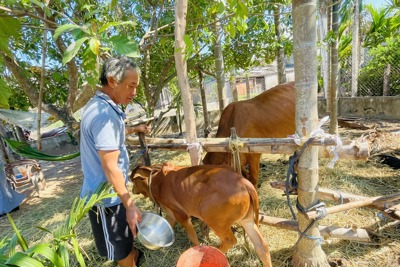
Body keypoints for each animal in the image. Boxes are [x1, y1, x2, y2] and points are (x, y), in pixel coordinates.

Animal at [130, 162, 274, 266]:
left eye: (132, 180)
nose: (131, 190)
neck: (158, 181)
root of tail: (244, 182)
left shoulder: (181, 214)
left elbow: (192, 236)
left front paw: (197, 250)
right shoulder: (170, 212)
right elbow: (168, 225)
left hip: (214, 220)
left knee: (230, 240)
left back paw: (211, 253)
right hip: (248, 221)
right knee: (262, 246)